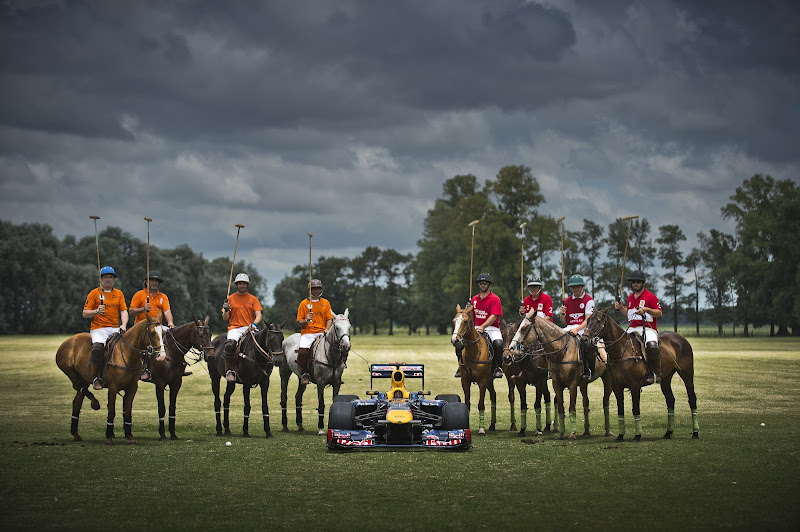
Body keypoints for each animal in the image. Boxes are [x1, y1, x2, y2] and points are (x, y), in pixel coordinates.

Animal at [55, 312, 166, 444]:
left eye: (163, 333)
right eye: (153, 333)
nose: (162, 356)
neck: (128, 355)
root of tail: (67, 341)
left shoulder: (132, 388)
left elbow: (127, 411)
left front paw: (129, 436)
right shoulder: (113, 388)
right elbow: (111, 411)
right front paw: (109, 437)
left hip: (85, 378)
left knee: (77, 401)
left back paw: (76, 434)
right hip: (70, 371)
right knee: (77, 386)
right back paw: (95, 402)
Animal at [450, 306, 494, 434]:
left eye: (465, 321)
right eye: (453, 321)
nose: (455, 340)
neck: (473, 352)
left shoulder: (482, 381)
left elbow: (481, 404)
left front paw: (481, 429)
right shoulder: (465, 381)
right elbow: (467, 403)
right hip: (489, 381)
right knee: (493, 395)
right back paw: (492, 425)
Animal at [580, 308, 700, 440]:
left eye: (598, 320)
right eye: (588, 320)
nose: (583, 340)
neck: (621, 351)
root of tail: (681, 337)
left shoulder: (635, 385)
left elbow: (636, 409)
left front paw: (637, 435)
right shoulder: (617, 387)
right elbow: (620, 410)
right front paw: (620, 436)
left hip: (687, 373)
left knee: (692, 398)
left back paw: (695, 432)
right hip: (665, 378)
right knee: (670, 400)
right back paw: (668, 433)